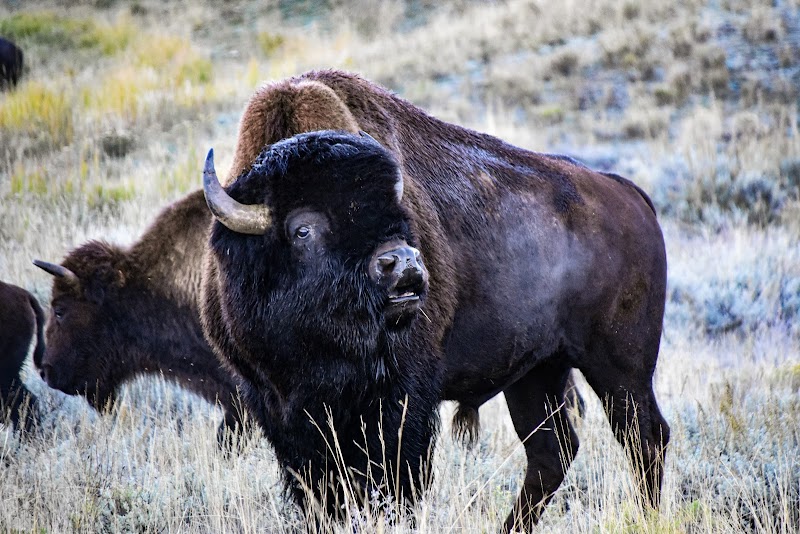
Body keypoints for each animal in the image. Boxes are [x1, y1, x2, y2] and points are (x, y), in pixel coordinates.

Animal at [200, 70, 669, 532]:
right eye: (303, 229)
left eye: (400, 216)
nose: (404, 263)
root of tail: (629, 194)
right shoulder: (278, 405)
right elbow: (320, 488)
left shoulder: (402, 396)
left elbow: (396, 479)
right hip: (537, 372)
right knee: (553, 452)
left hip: (619, 368)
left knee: (645, 438)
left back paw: (646, 517)